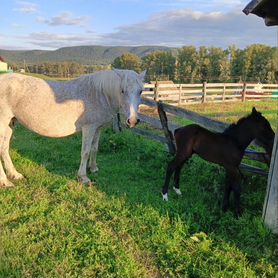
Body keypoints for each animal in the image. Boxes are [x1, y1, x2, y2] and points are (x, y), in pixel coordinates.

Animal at [0, 69, 147, 187]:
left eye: (140, 91)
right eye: (122, 91)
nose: (133, 121)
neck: (99, 94)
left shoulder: (97, 128)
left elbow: (94, 148)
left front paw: (93, 168)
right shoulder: (89, 128)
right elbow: (85, 152)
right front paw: (83, 177)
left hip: (10, 124)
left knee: (4, 148)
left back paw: (14, 174)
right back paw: (5, 181)